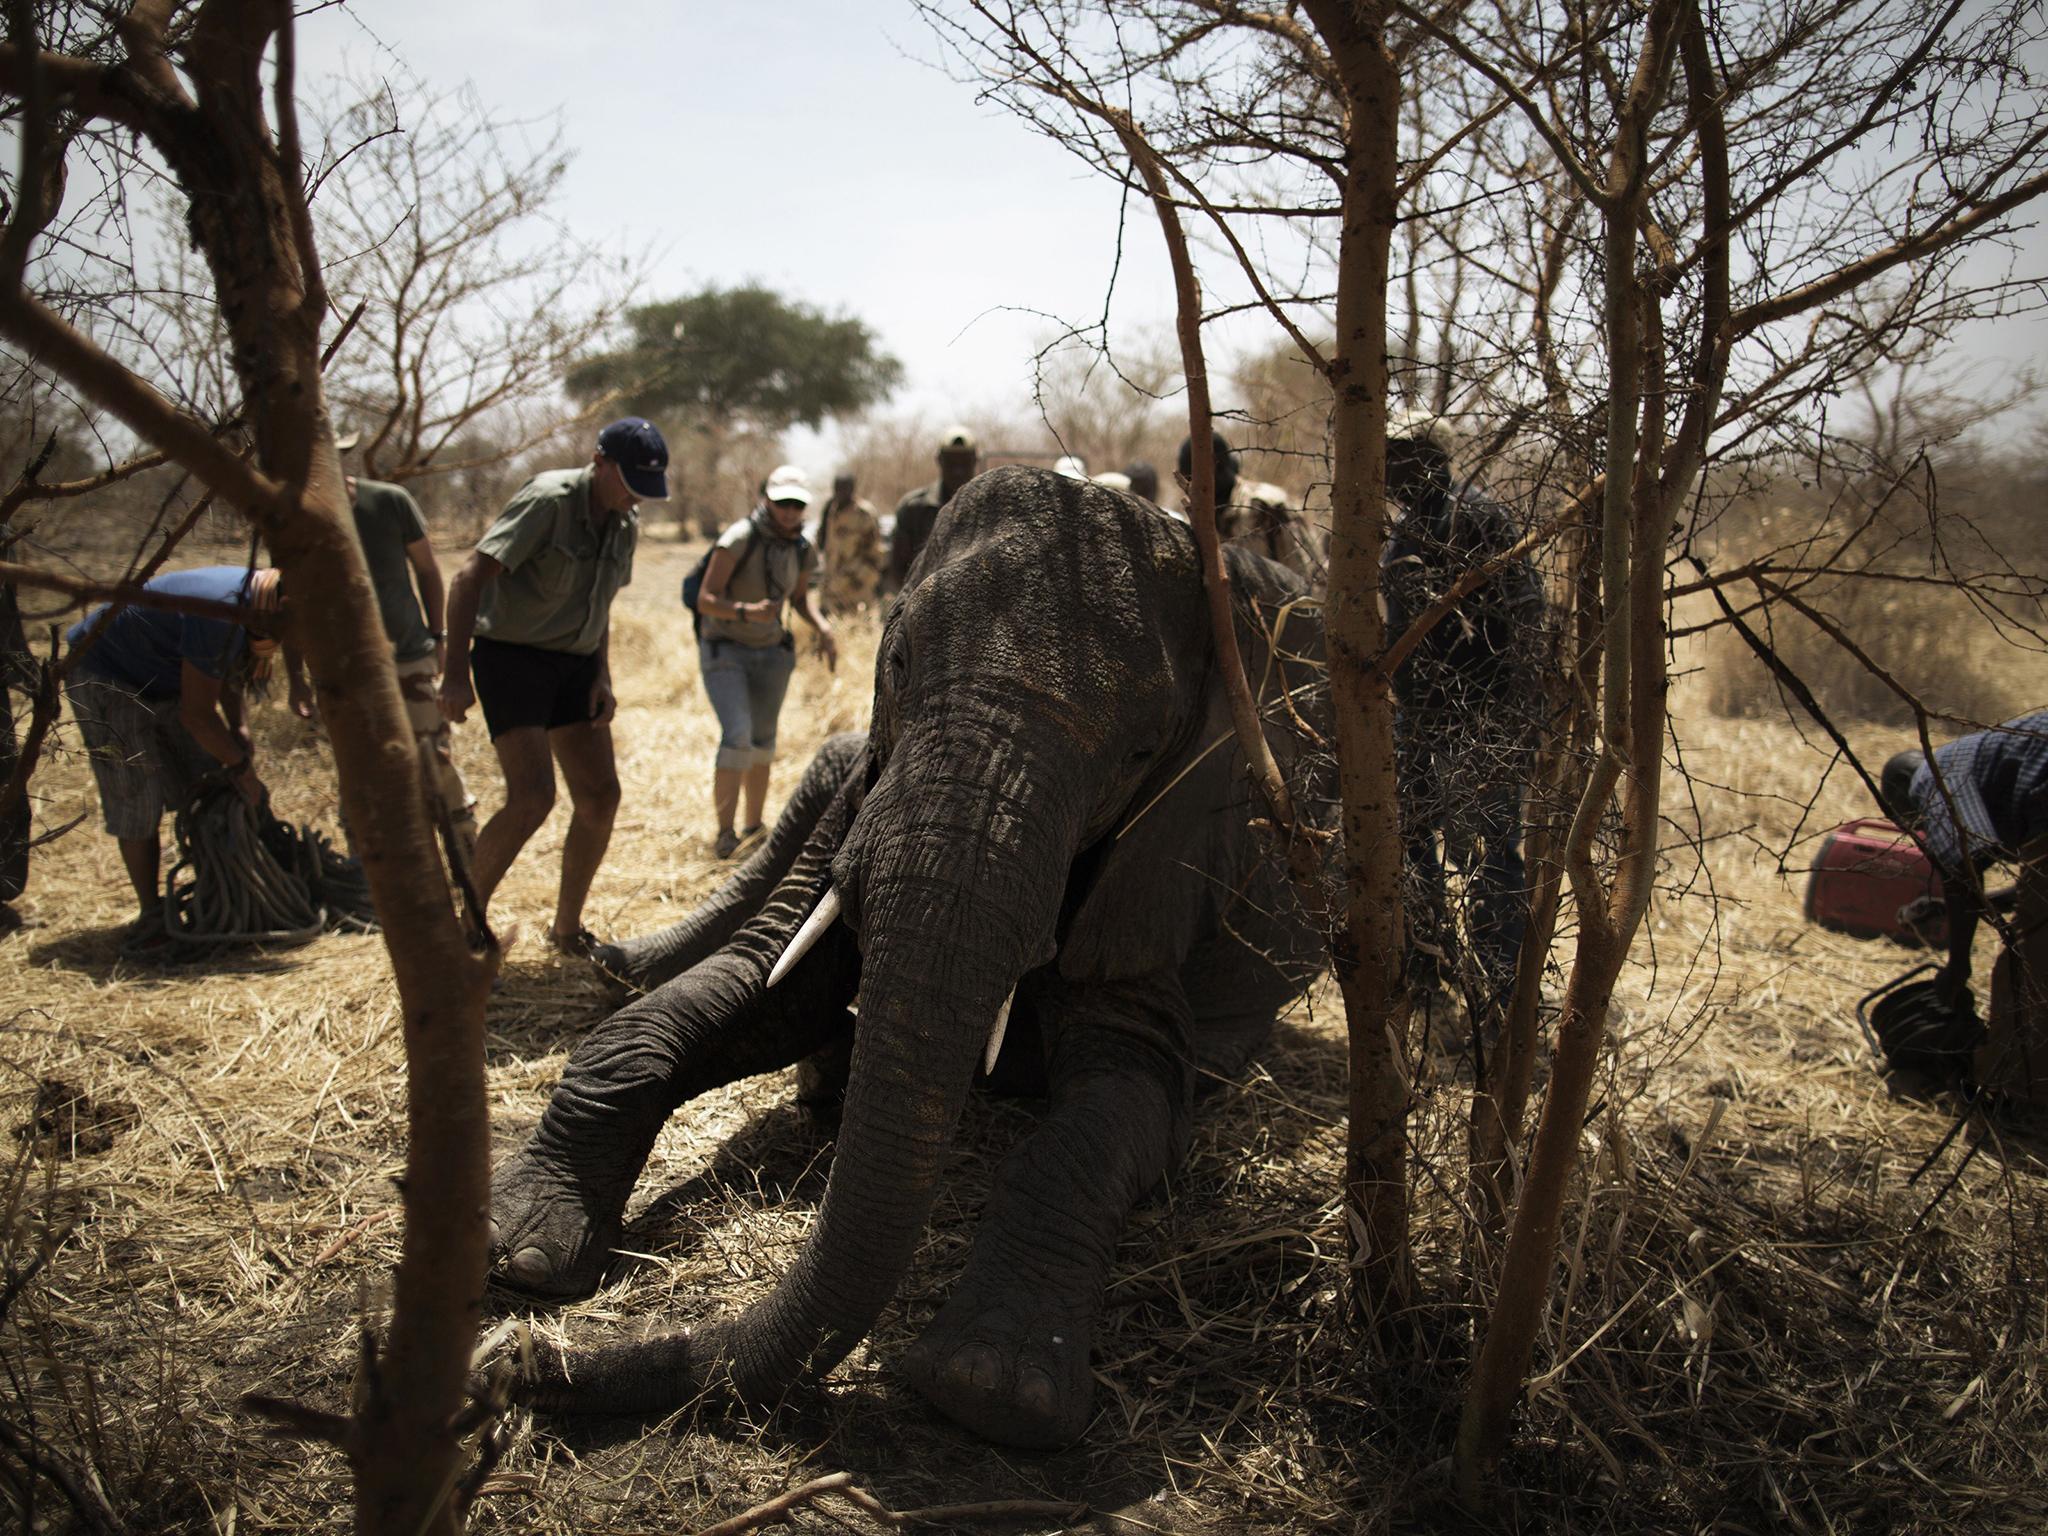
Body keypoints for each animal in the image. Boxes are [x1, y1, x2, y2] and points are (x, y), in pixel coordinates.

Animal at [489, 468, 1335, 1458]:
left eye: (1138, 754)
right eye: (895, 665)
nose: (523, 1363)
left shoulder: (1169, 860)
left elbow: (1119, 1104)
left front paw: (989, 1388)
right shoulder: (864, 796)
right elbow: (756, 992)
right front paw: (520, 1252)